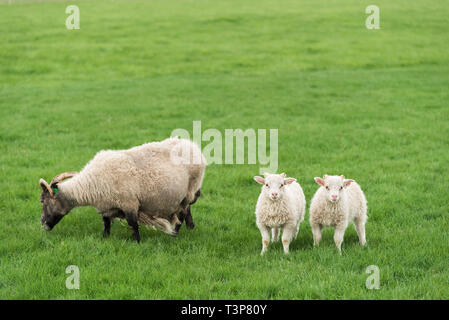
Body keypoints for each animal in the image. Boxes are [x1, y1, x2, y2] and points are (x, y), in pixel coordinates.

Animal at [39, 138, 206, 242]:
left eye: (43, 201)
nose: (43, 224)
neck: (91, 183)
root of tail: (193, 146)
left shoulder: (129, 203)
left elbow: (133, 224)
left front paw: (137, 242)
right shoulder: (107, 207)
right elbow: (106, 223)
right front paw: (105, 238)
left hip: (189, 190)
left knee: (182, 212)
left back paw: (175, 233)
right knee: (187, 210)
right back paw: (190, 227)